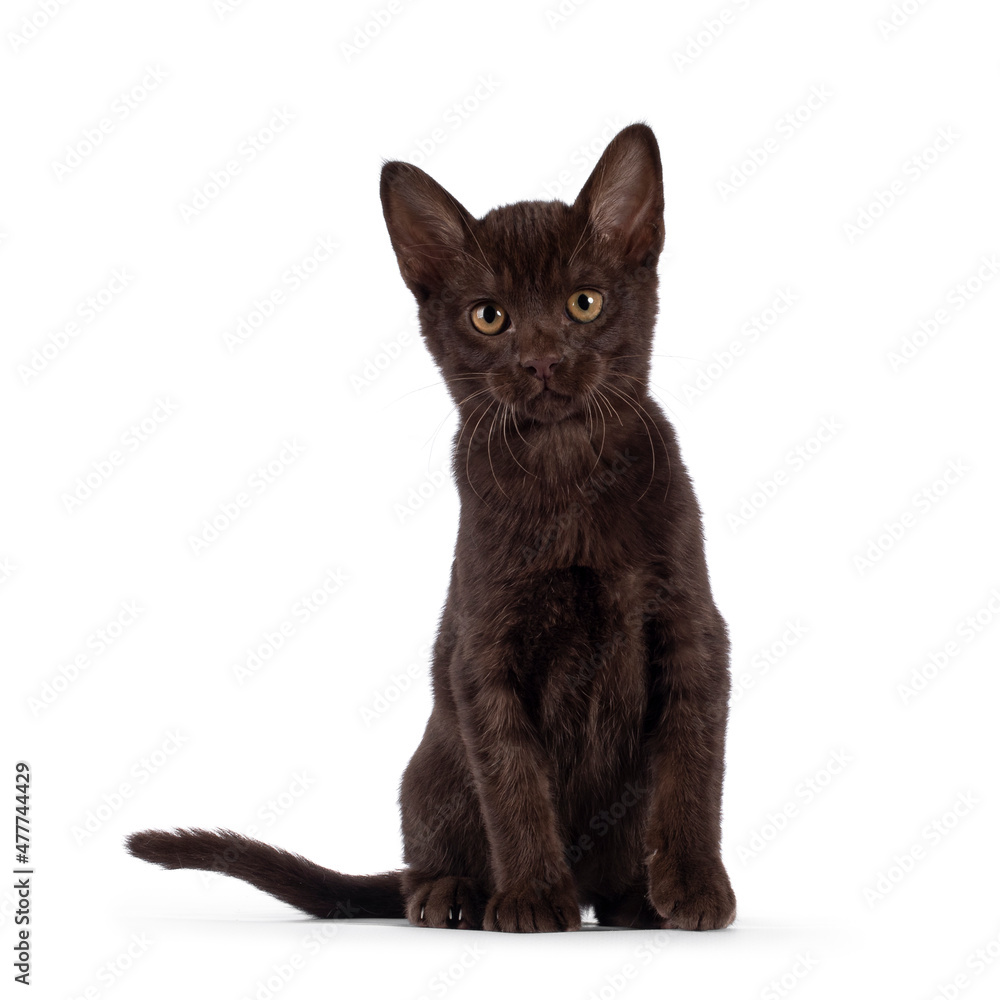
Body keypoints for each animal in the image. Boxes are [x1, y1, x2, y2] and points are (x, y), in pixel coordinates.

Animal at [127, 123, 736, 928]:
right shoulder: (483, 654)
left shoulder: (692, 629)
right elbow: (513, 783)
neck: (567, 473)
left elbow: (693, 768)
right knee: (422, 861)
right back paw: (455, 896)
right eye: (489, 316)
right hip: (430, 768)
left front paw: (695, 887)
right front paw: (532, 897)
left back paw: (634, 901)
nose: (541, 360)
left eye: (584, 303)